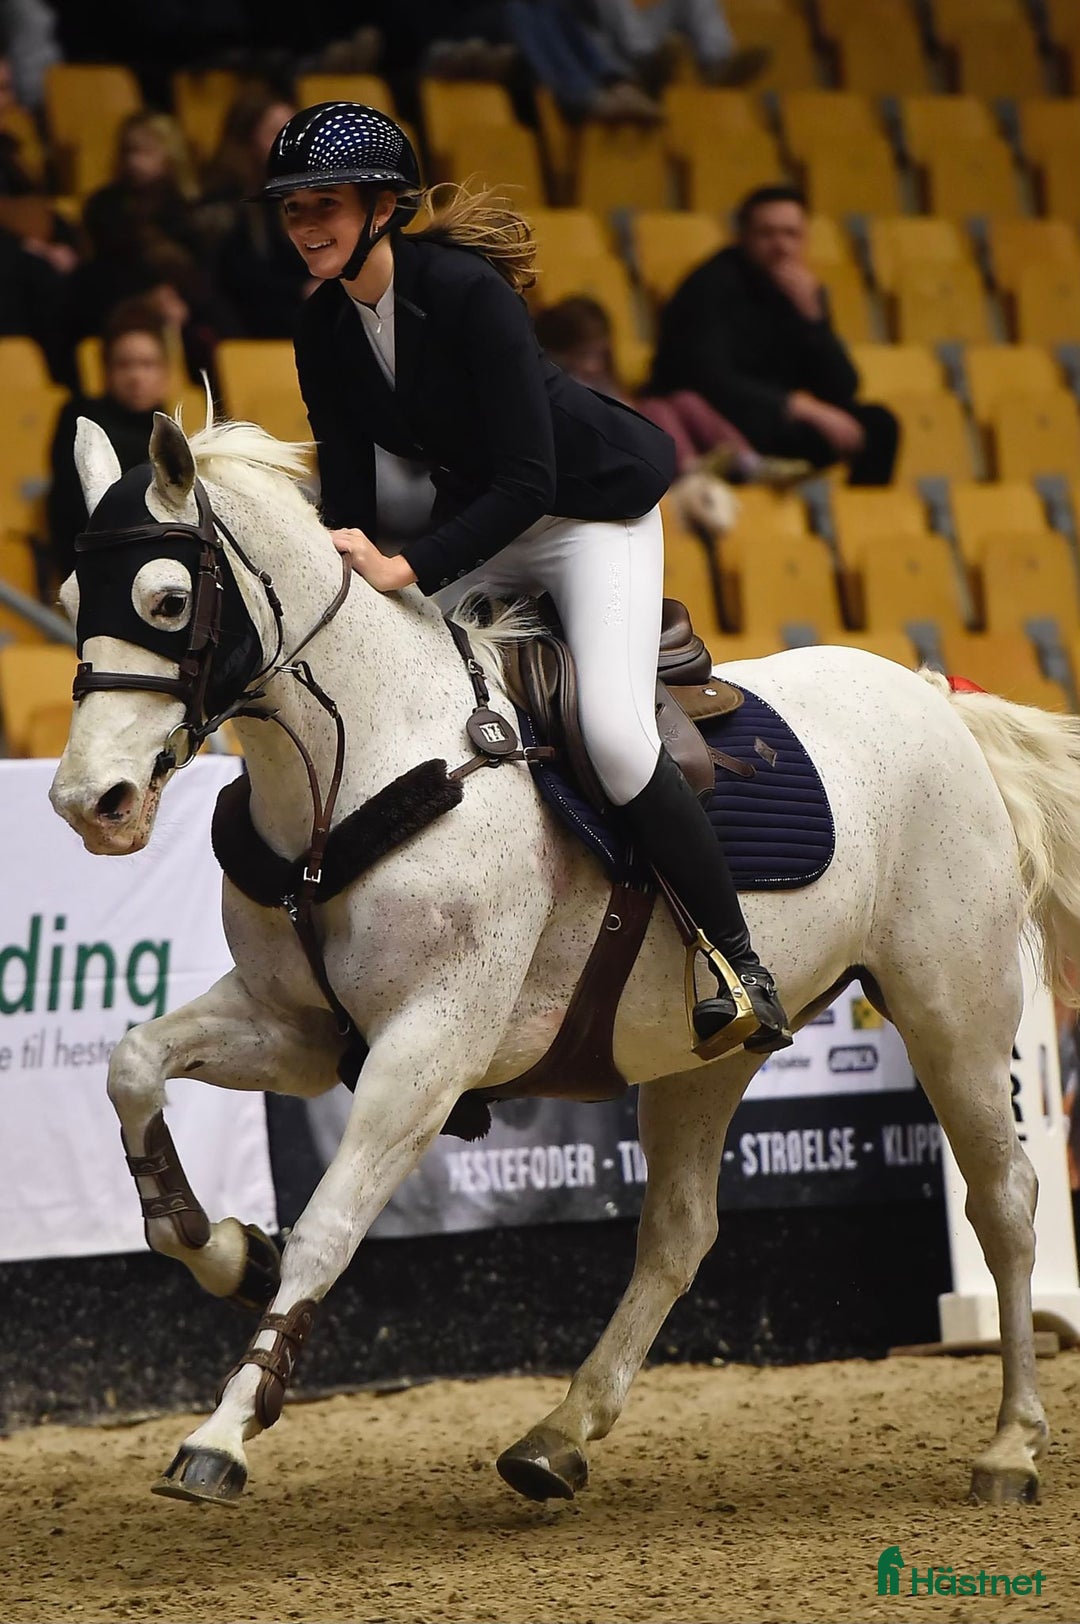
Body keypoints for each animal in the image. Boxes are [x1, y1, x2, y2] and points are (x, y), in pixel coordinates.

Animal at [49, 407, 1080, 1510]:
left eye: (166, 601)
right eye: (70, 601)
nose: (89, 803)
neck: (352, 765)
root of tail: (938, 698)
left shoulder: (427, 1050)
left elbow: (328, 1227)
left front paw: (226, 1429)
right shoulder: (297, 1030)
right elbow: (133, 1067)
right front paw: (228, 1248)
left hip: (953, 1011)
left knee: (1005, 1202)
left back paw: (1011, 1445)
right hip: (706, 1055)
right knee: (678, 1231)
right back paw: (558, 1433)